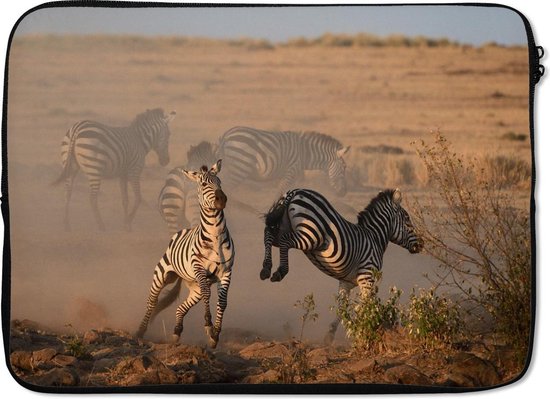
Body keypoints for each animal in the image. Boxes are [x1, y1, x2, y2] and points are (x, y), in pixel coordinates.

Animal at [138, 161, 235, 348]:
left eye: (219, 182)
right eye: (204, 184)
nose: (222, 199)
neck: (215, 236)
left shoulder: (226, 272)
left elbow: (223, 301)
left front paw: (215, 335)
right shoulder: (199, 268)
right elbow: (207, 294)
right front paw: (208, 326)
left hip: (194, 286)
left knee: (181, 307)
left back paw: (176, 333)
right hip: (162, 274)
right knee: (152, 302)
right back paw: (140, 332)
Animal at [219, 126, 352, 197]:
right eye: (344, 167)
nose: (344, 192)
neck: (305, 153)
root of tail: (226, 135)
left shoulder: (295, 176)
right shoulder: (290, 172)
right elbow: (279, 192)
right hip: (240, 167)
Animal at [260, 189, 424, 342]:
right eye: (407, 219)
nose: (421, 244)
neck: (375, 238)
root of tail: (295, 191)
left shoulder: (346, 282)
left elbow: (342, 307)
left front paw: (331, 334)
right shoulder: (367, 275)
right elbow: (368, 305)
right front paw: (367, 331)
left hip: (282, 226)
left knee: (268, 235)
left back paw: (266, 268)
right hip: (311, 234)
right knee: (284, 241)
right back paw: (281, 270)